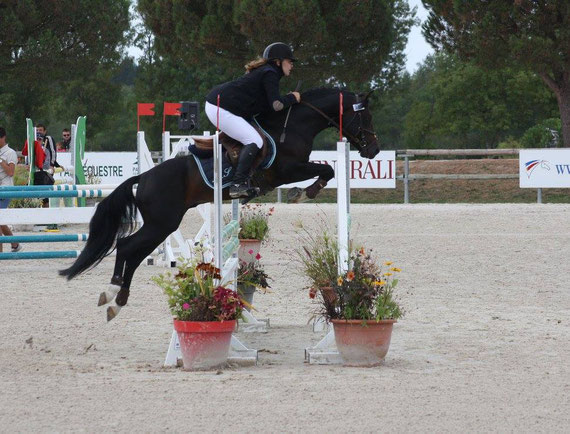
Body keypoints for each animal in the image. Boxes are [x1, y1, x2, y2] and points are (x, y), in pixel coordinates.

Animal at [58, 87, 378, 318]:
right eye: (365, 116)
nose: (373, 150)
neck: (293, 126)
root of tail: (145, 176)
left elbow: (327, 170)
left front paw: (304, 192)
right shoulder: (288, 170)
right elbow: (327, 170)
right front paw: (304, 193)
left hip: (161, 226)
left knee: (134, 253)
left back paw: (118, 298)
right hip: (162, 223)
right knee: (126, 247)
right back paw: (113, 293)